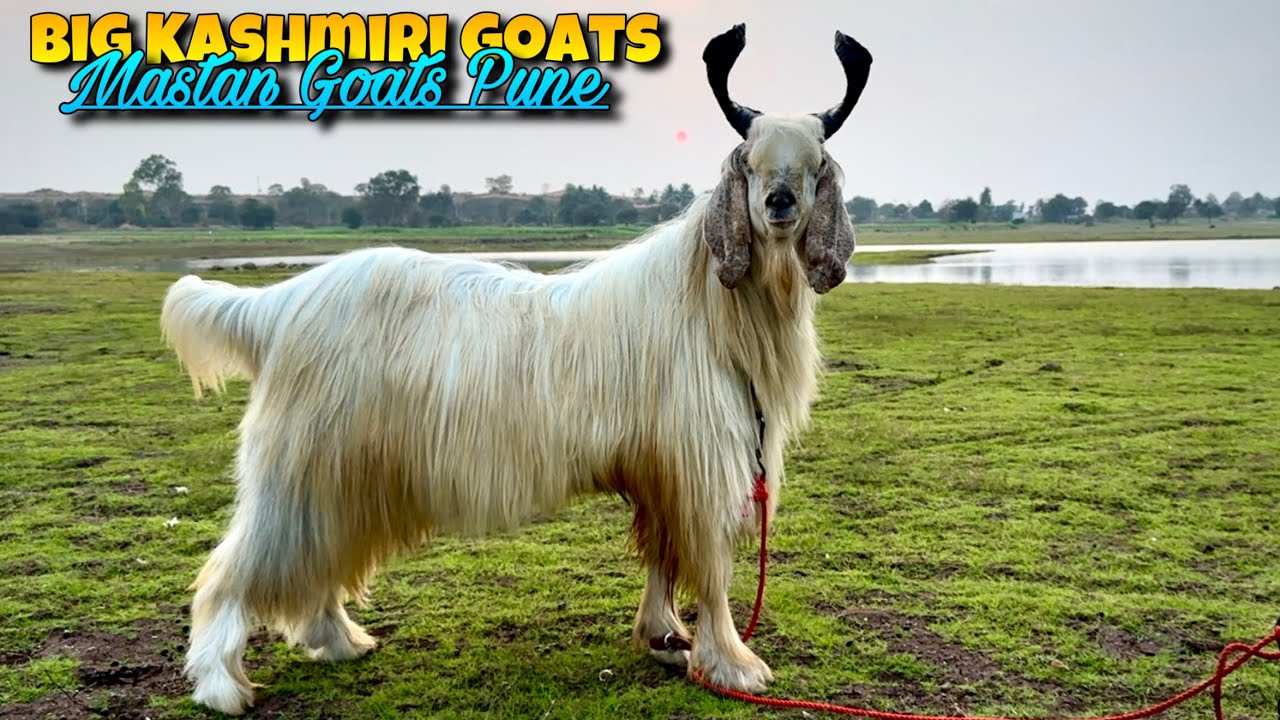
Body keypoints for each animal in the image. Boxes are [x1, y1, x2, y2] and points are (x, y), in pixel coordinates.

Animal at [161, 24, 872, 715]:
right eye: (750, 162)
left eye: (815, 165)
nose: (779, 203)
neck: (710, 302)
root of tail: (278, 305)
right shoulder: (698, 462)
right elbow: (711, 564)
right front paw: (731, 662)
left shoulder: (659, 468)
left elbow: (662, 555)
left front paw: (664, 638)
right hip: (301, 468)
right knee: (235, 568)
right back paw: (220, 685)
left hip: (341, 474)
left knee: (317, 562)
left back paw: (337, 641)